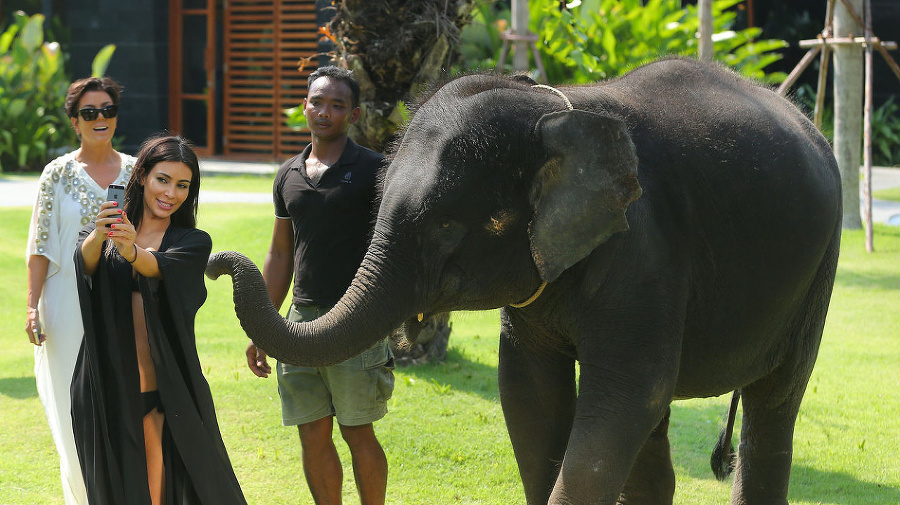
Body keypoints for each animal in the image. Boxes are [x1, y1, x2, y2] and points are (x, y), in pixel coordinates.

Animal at [207, 57, 840, 502]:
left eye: (444, 224)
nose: (216, 261)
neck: (558, 111)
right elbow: (529, 393)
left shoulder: (645, 250)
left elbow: (624, 398)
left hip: (819, 271)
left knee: (774, 403)